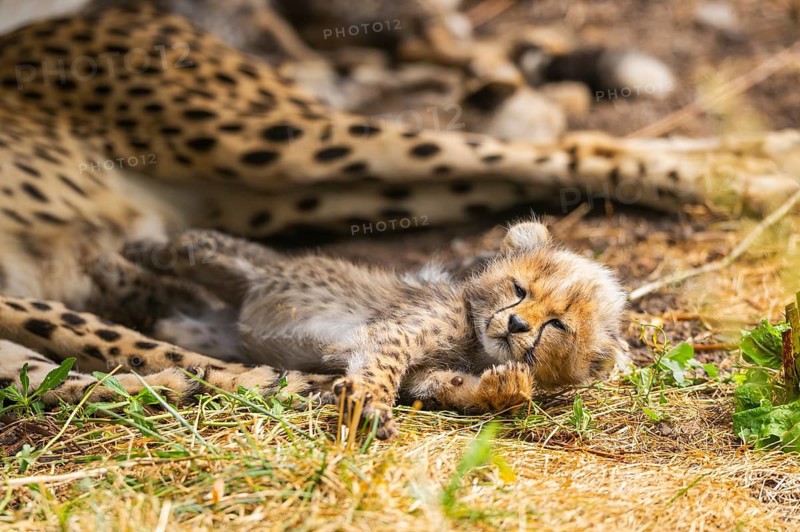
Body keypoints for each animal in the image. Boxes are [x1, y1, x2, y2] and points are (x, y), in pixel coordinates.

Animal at [0, 0, 797, 437]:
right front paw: (296, 387)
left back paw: (762, 174)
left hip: (284, 160)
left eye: (555, 327)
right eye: (517, 292)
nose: (515, 325)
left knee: (558, 150)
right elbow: (72, 362)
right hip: (279, 166)